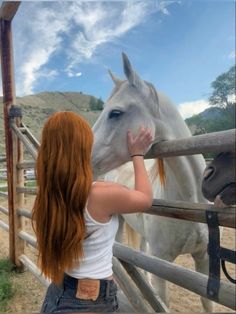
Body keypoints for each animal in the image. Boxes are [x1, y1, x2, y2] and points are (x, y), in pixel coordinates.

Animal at [91, 53, 211, 312]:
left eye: (115, 113)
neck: (189, 200)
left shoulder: (204, 259)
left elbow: (207, 303)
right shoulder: (162, 268)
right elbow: (162, 303)